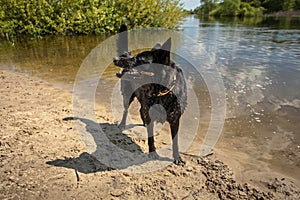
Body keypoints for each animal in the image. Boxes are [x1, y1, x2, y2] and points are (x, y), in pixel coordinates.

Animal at [113, 36, 186, 165]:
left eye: (140, 59)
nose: (115, 59)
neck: (162, 91)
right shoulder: (151, 114)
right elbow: (151, 137)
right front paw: (153, 153)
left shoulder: (175, 120)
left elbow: (175, 141)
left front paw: (177, 157)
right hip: (128, 96)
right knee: (126, 110)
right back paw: (122, 124)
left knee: (141, 111)